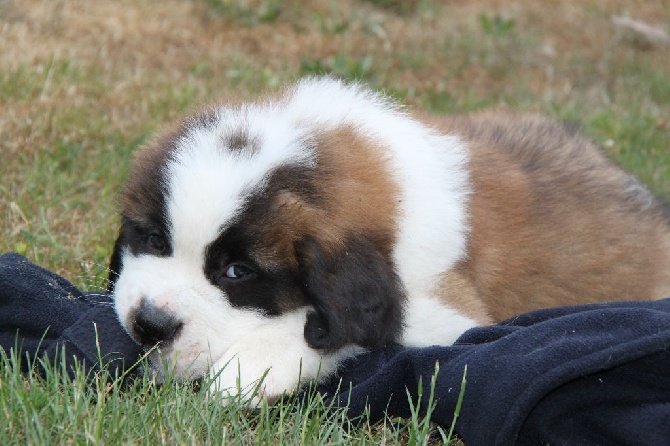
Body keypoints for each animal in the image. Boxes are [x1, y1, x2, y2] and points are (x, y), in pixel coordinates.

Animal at [107, 76, 670, 404]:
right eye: (153, 239)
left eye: (237, 273)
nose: (149, 325)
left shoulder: (453, 317)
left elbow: (339, 329)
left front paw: (253, 364)